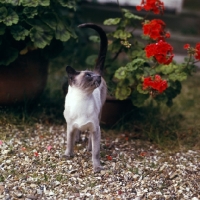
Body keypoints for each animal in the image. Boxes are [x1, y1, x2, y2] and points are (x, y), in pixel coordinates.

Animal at [64, 22, 108, 172]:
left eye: (93, 76)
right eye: (88, 76)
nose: (98, 77)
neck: (82, 99)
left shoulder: (95, 128)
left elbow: (96, 152)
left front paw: (97, 167)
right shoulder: (70, 126)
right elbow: (69, 142)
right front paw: (68, 155)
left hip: (99, 117)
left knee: (90, 140)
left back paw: (88, 147)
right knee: (77, 133)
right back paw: (78, 139)